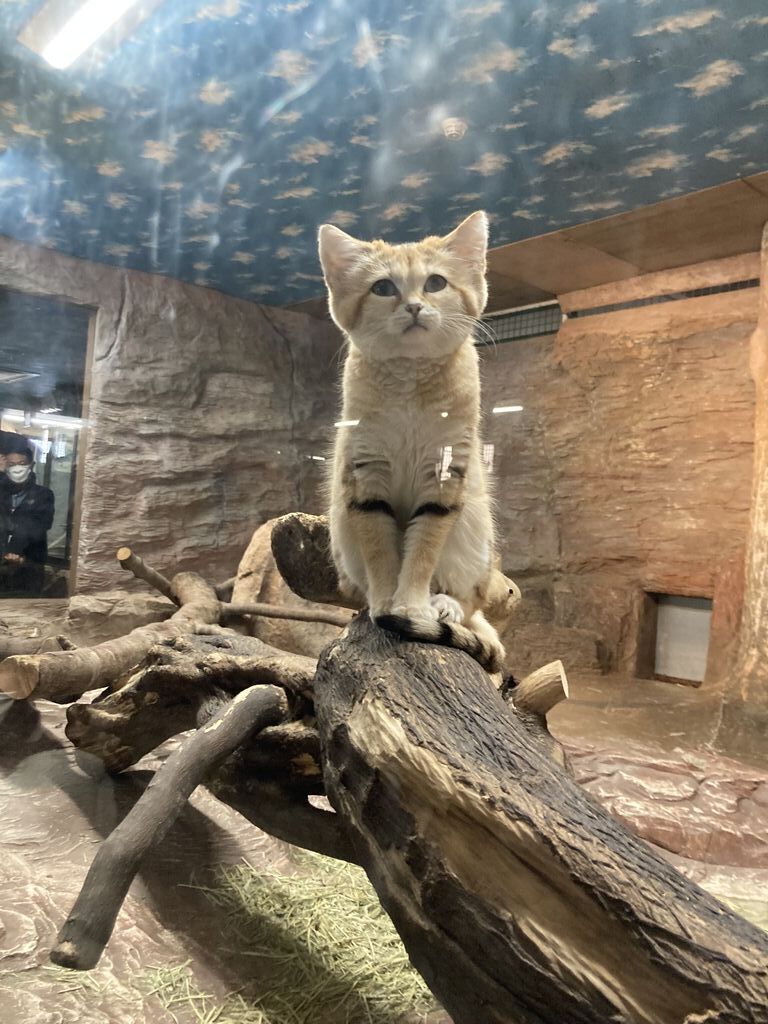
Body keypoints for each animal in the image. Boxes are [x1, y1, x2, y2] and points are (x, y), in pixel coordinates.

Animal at [317, 209, 505, 671]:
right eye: (383, 287)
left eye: (435, 282)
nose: (415, 306)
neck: (410, 379)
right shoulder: (366, 477)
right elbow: (382, 549)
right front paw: (387, 602)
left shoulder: (445, 473)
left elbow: (422, 550)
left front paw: (412, 607)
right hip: (342, 530)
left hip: (475, 528)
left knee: (472, 604)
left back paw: (445, 605)